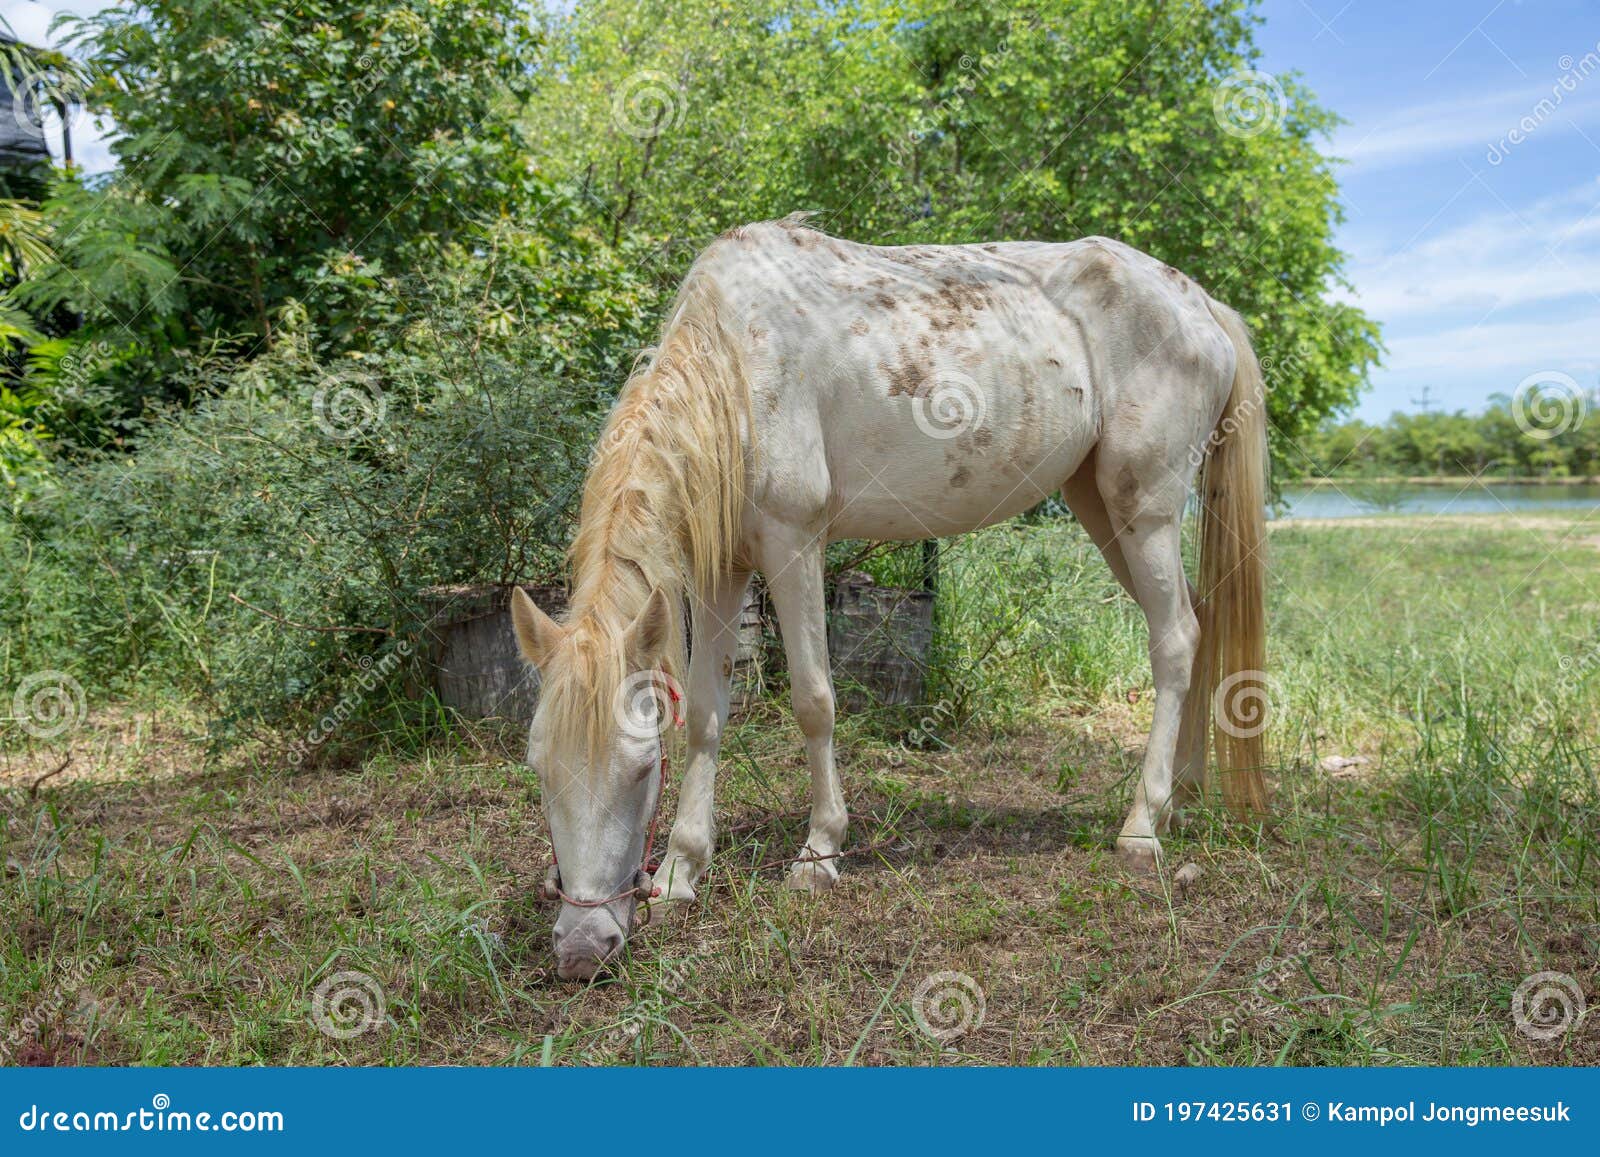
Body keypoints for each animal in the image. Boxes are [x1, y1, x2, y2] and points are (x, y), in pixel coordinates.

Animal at [508, 217, 1260, 979]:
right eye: (540, 768)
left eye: (639, 770)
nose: (582, 948)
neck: (738, 363)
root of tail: (1201, 305)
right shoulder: (724, 567)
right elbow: (707, 714)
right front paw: (681, 872)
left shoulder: (793, 543)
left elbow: (813, 700)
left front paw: (818, 852)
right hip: (1101, 507)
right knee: (1194, 622)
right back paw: (1181, 797)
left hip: (1146, 511)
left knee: (1174, 642)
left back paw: (1141, 828)